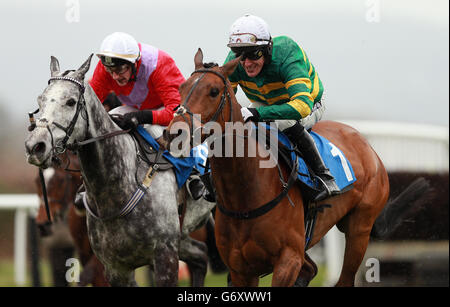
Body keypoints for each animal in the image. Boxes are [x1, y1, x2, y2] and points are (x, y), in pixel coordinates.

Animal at [25, 54, 215, 288]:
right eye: (40, 101)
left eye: (70, 102)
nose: (35, 146)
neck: (116, 190)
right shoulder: (115, 267)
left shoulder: (165, 256)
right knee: (201, 255)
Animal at [166, 49, 428, 288]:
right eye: (181, 88)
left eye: (213, 91)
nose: (175, 132)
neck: (245, 192)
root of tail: (366, 145)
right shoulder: (241, 268)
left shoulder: (288, 259)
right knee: (311, 269)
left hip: (360, 229)